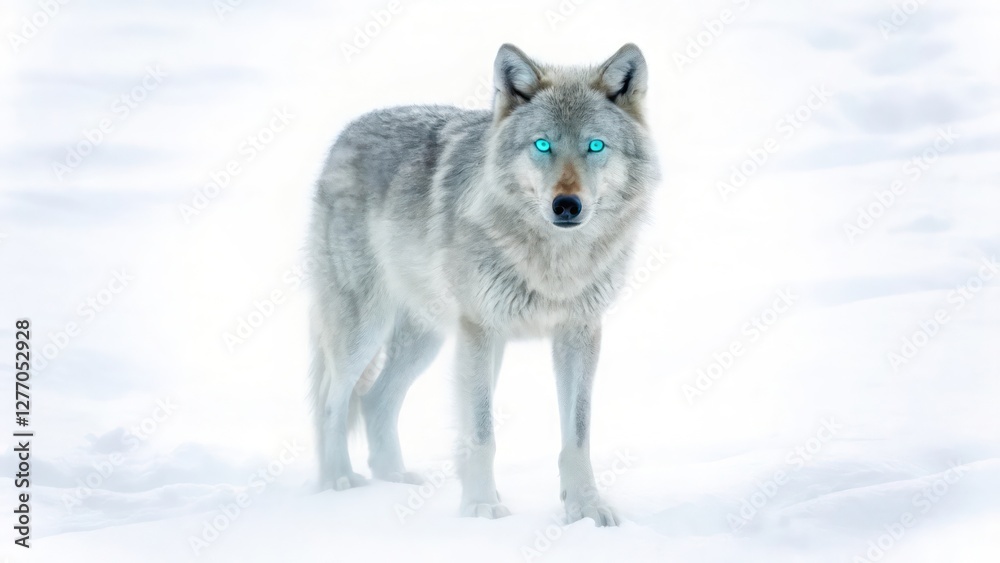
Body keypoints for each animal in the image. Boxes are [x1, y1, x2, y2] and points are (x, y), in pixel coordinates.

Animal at [308, 43, 659, 526]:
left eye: (595, 145)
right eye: (543, 144)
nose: (566, 205)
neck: (553, 262)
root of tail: (344, 136)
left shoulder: (579, 331)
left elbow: (578, 435)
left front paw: (586, 510)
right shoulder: (480, 331)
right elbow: (481, 432)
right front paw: (480, 507)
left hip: (427, 339)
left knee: (375, 400)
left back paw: (395, 481)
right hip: (365, 332)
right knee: (332, 401)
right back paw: (338, 483)